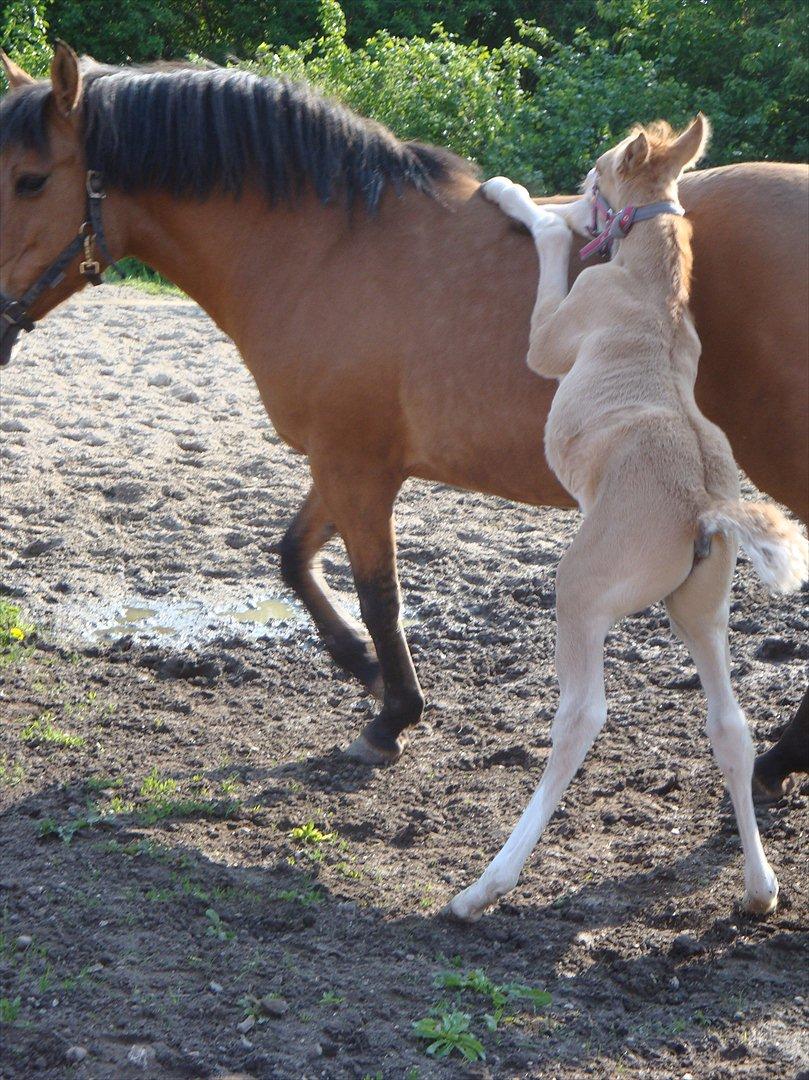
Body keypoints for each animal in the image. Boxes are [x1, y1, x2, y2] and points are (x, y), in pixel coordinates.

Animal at [0, 50, 803, 777]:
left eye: (31, 179)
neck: (326, 250)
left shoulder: (357, 468)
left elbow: (379, 594)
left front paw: (392, 714)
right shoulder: (342, 460)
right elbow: (294, 557)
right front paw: (364, 667)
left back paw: (777, 760)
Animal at [451, 118, 803, 920]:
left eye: (593, 173)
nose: (587, 208)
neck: (651, 289)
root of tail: (707, 506)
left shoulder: (553, 334)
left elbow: (548, 257)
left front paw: (517, 197)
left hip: (582, 590)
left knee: (582, 716)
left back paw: (484, 886)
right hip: (700, 608)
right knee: (730, 728)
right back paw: (759, 888)